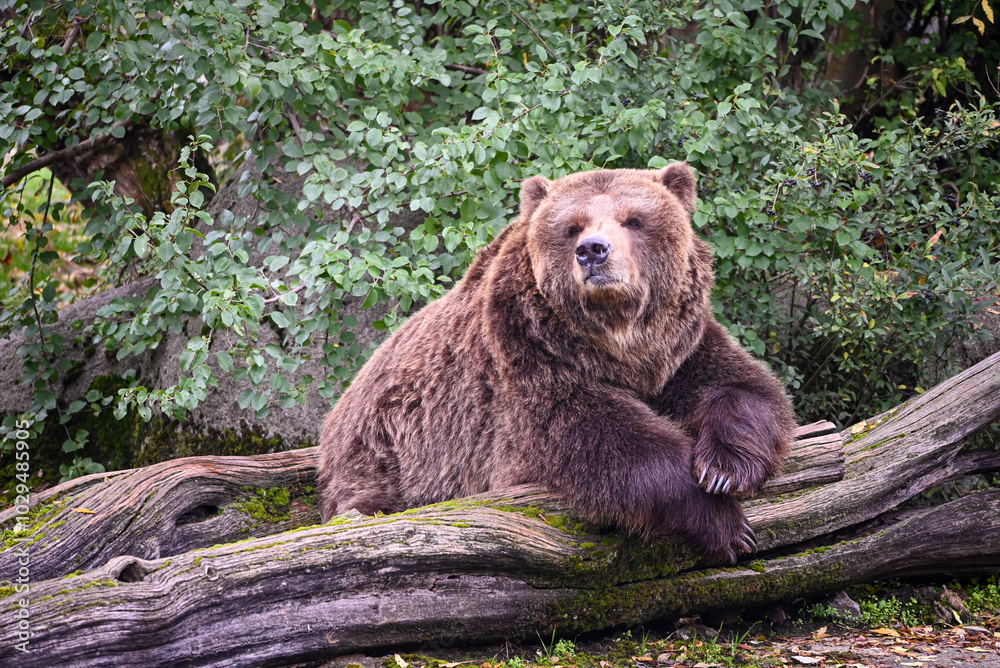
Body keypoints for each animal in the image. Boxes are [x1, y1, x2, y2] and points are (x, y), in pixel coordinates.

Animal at [316, 162, 796, 564]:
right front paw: (726, 524)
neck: (617, 344)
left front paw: (723, 469)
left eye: (634, 220)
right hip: (382, 453)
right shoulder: (528, 359)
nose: (593, 250)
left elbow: (742, 386)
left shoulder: (679, 350)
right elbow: (597, 438)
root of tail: (339, 410)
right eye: (571, 227)